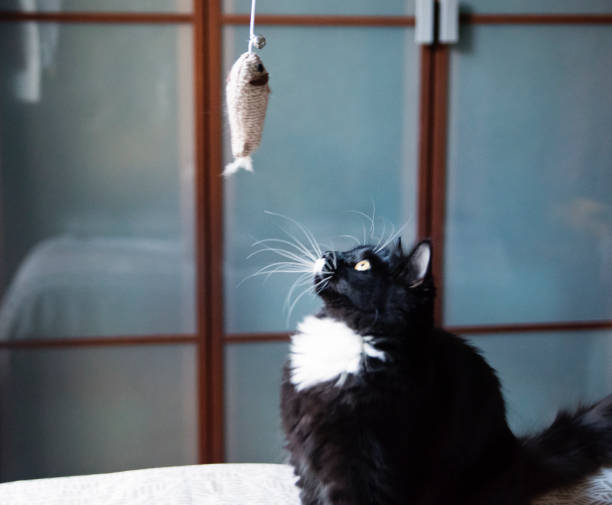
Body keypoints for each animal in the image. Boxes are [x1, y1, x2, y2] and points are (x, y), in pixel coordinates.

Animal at [280, 238, 612, 502]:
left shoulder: (358, 462)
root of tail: (518, 457)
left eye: (363, 265)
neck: (352, 335)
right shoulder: (306, 462)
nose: (328, 253)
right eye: (349, 249)